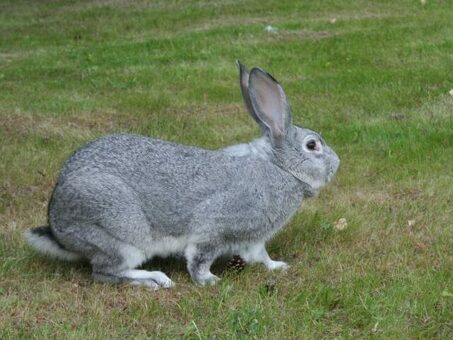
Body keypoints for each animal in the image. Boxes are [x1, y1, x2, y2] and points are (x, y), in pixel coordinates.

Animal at [23, 62, 338, 288]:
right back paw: (156, 279)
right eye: (312, 145)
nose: (337, 163)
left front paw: (278, 266)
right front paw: (209, 281)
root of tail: (57, 226)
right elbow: (200, 257)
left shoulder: (253, 239)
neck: (279, 167)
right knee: (105, 272)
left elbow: (260, 256)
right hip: (120, 232)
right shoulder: (216, 227)